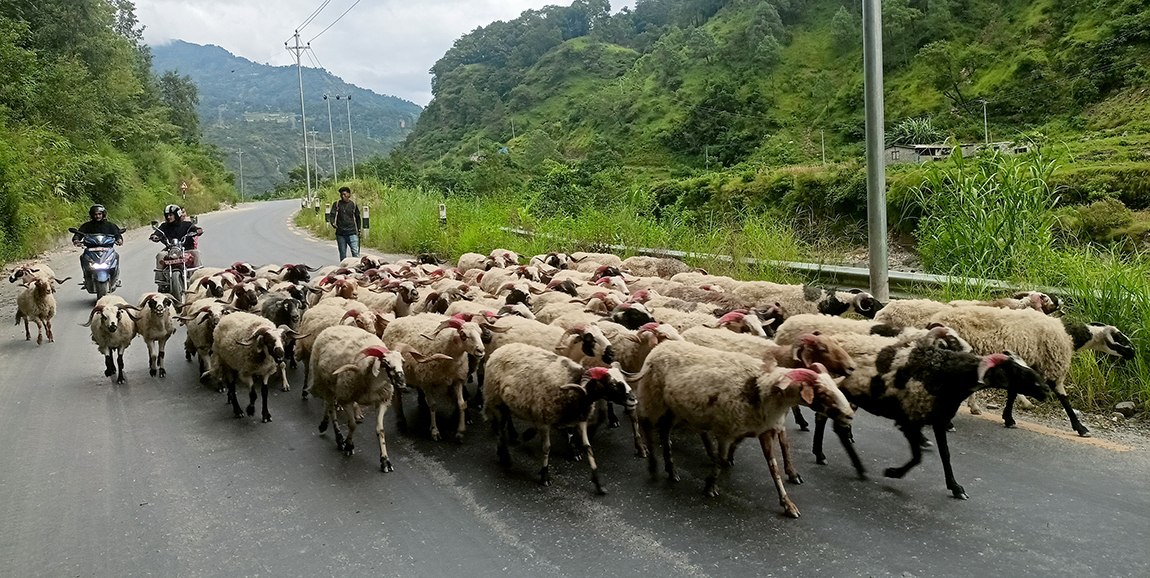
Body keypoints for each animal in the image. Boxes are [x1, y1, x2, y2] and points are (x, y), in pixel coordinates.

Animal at [308, 326, 411, 471]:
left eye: (402, 361)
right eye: (386, 362)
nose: (402, 382)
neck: (372, 383)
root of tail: (332, 327)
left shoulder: (382, 400)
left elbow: (380, 430)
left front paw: (385, 460)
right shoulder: (346, 398)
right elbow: (352, 425)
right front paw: (349, 445)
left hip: (332, 385)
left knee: (327, 404)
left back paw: (324, 424)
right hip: (324, 380)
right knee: (331, 408)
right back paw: (338, 438)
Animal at [483, 344, 634, 498]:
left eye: (623, 379)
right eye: (612, 384)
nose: (633, 399)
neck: (576, 387)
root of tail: (500, 349)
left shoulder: (580, 418)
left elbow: (587, 447)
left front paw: (598, 483)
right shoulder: (544, 421)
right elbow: (547, 448)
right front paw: (545, 476)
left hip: (505, 404)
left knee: (502, 426)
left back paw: (504, 449)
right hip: (497, 401)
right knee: (499, 430)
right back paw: (505, 457)